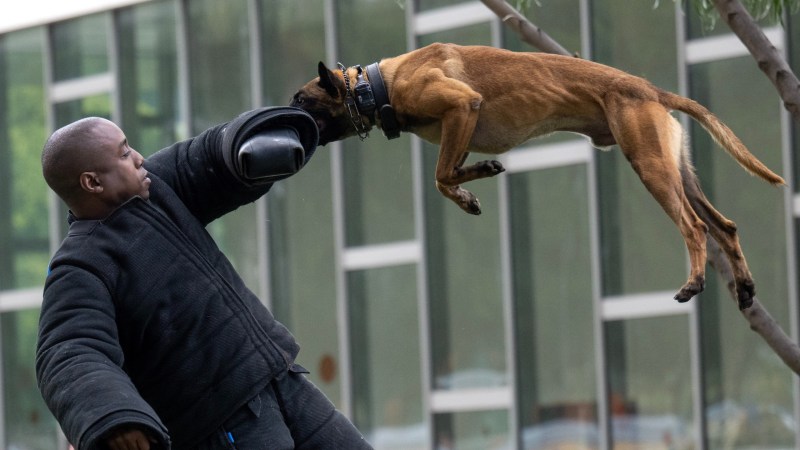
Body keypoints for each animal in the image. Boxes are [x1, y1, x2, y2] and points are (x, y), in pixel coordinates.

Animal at [290, 43, 784, 310]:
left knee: (696, 227)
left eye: (299, 99)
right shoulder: (459, 126)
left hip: (651, 167)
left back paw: (694, 283)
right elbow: (447, 174)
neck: (377, 84)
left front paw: (468, 191)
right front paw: (475, 183)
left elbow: (440, 175)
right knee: (725, 226)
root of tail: (652, 90)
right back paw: (744, 287)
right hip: (677, 172)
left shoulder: (462, 106)